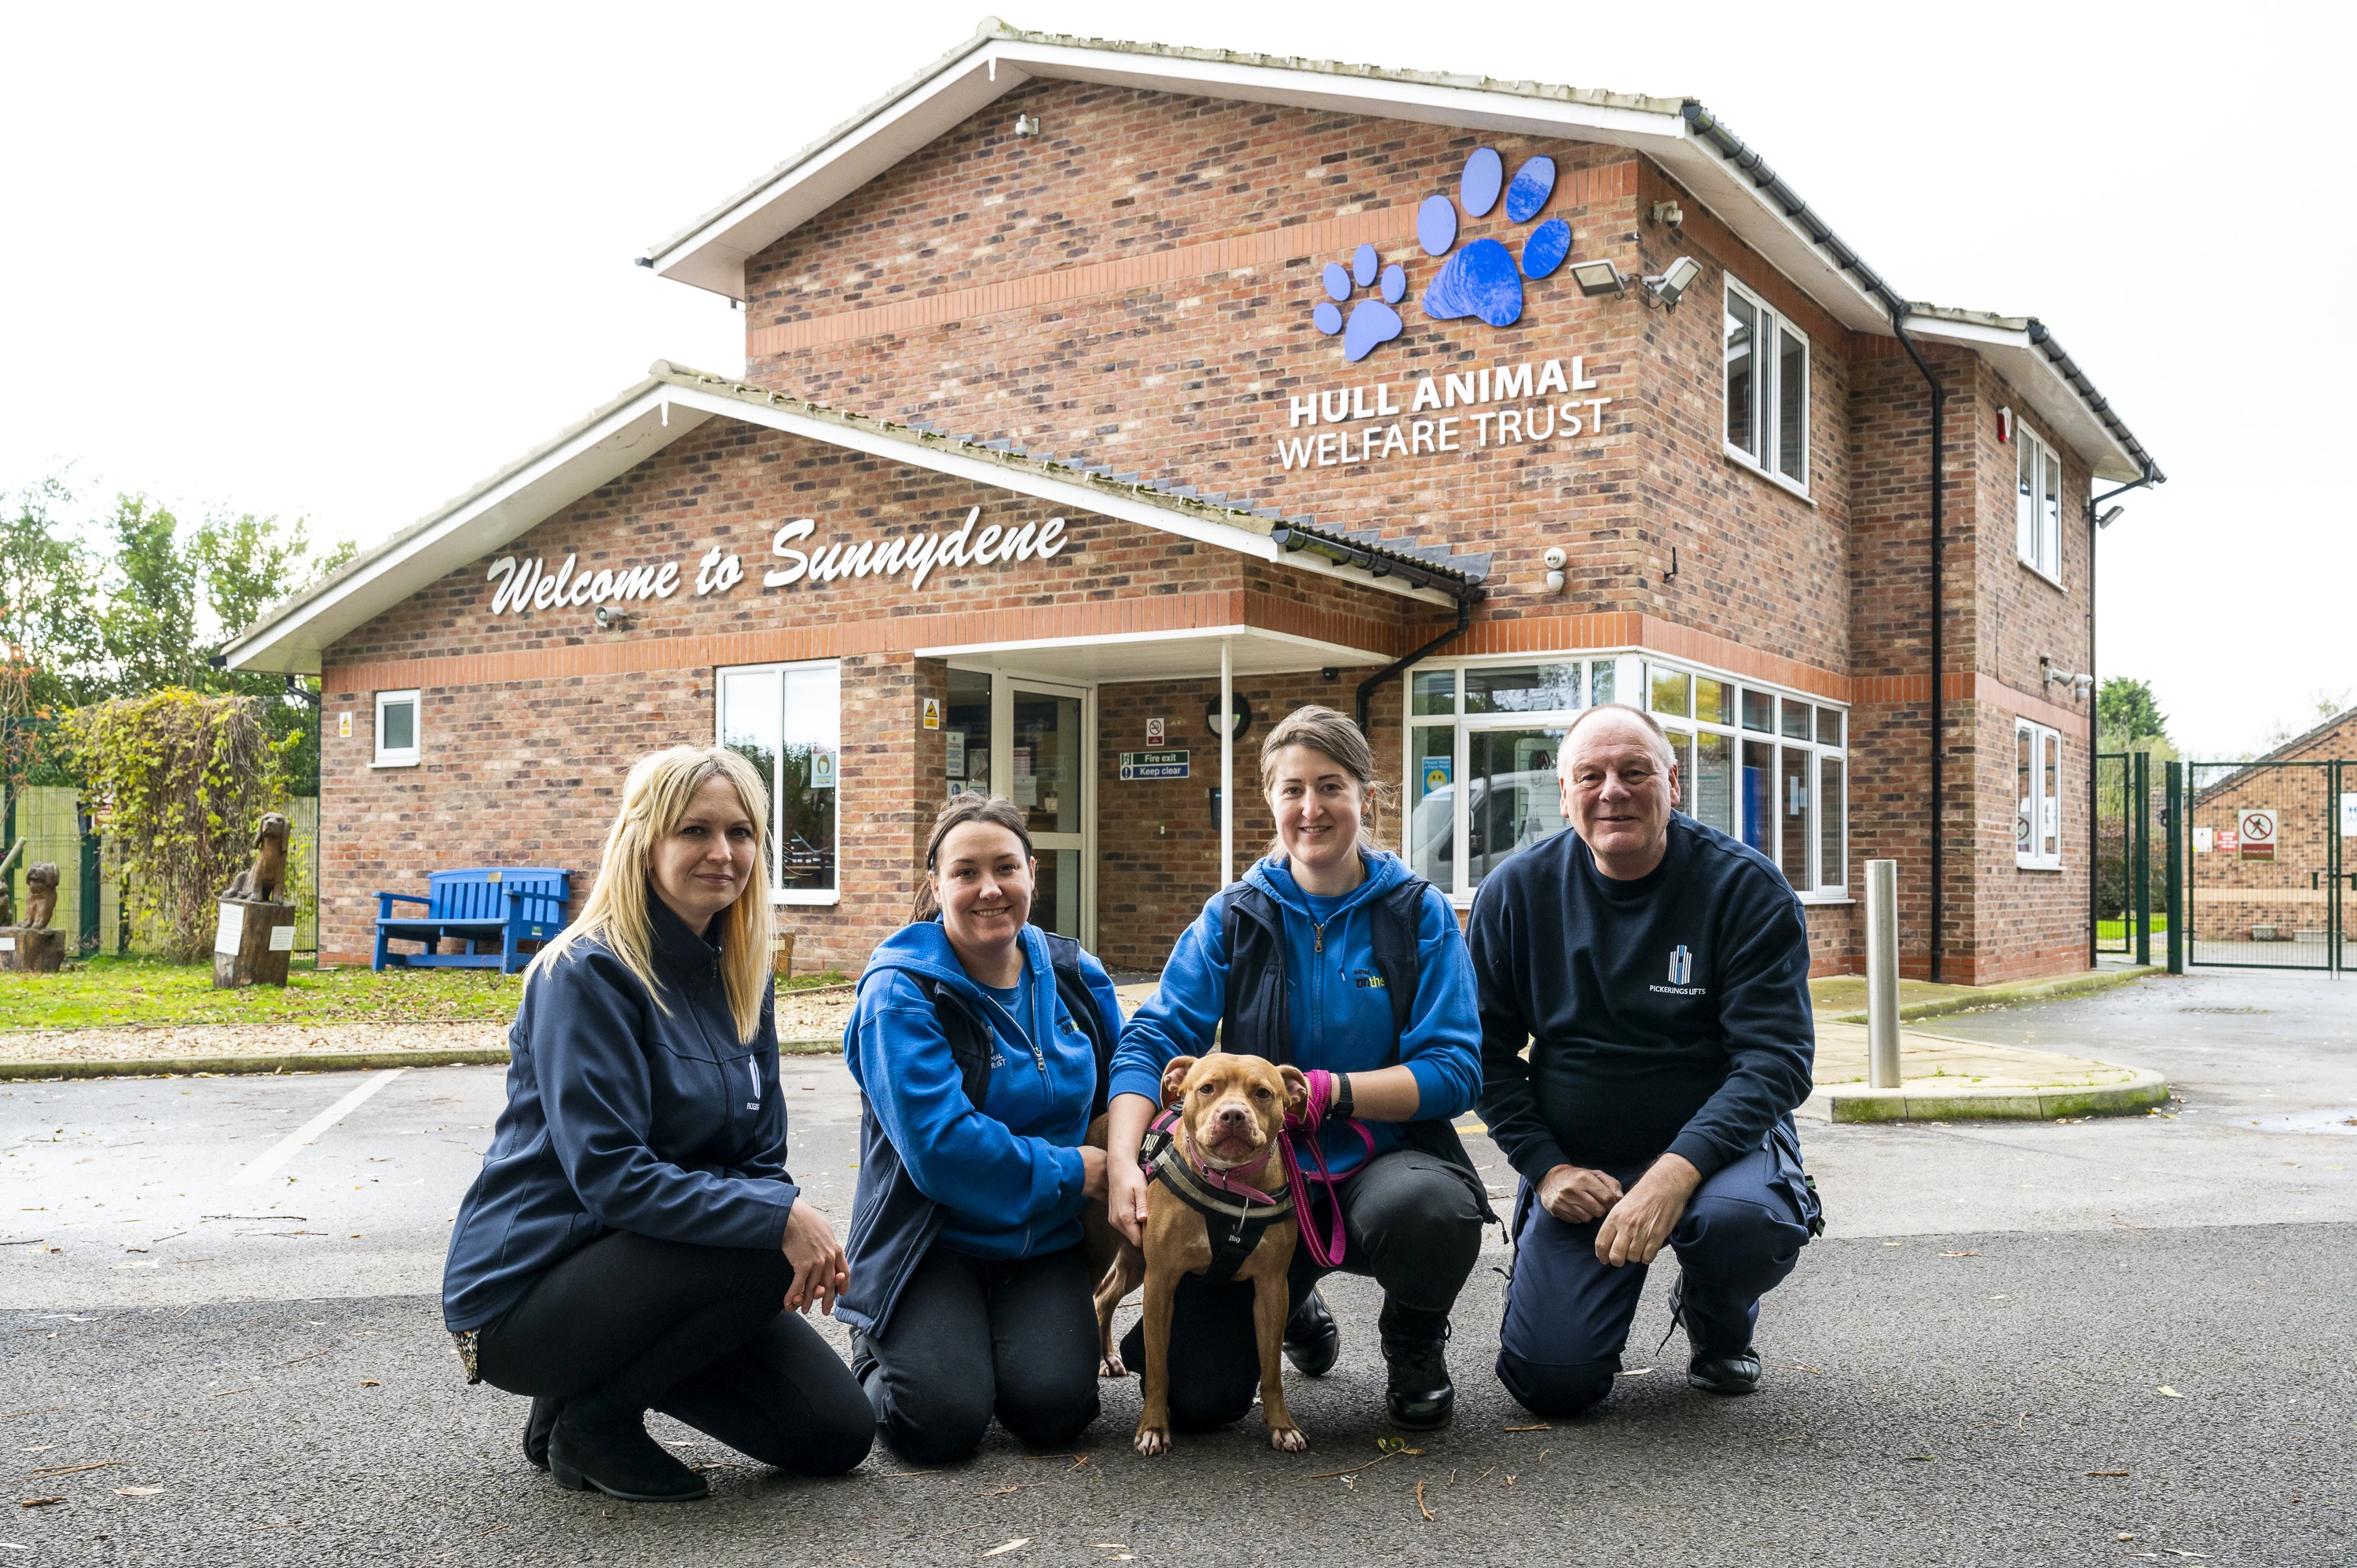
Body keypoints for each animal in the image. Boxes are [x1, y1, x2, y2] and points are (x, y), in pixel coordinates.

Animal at [1080, 1051, 1310, 1452]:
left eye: (1263, 1093)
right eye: (1207, 1088)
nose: (1232, 1114)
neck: (1230, 1185)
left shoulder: (1272, 1289)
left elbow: (1271, 1369)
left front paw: (1282, 1426)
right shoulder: (1160, 1284)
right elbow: (1158, 1367)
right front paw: (1154, 1427)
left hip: (1135, 1260)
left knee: (1106, 1296)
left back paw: (1107, 1357)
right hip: (1106, 1250)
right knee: (1096, 1292)